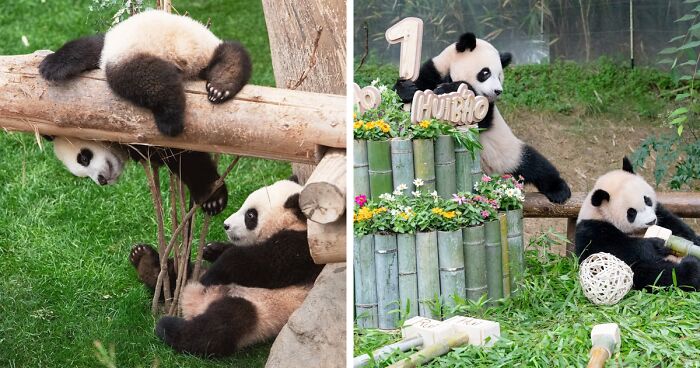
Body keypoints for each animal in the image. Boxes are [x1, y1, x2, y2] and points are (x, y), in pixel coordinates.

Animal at [394, 32, 568, 204]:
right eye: (486, 73)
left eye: (500, 76)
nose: (498, 91)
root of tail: (498, 175)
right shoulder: (433, 72)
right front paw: (406, 89)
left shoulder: (487, 108)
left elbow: (480, 119)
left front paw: (449, 89)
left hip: (511, 153)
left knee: (537, 166)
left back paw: (560, 191)